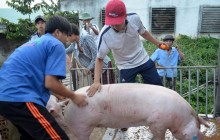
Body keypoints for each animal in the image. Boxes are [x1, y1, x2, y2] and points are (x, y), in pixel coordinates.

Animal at [47, 83, 209, 140]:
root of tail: (69, 103)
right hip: (81, 127)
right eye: (196, 136)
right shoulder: (156, 122)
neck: (180, 117)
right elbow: (159, 135)